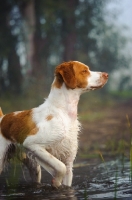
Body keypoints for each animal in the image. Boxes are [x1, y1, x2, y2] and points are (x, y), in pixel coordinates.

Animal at [0, 60, 108, 188]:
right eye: (84, 71)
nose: (106, 74)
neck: (63, 112)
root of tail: (2, 118)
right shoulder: (31, 143)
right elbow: (60, 167)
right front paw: (56, 180)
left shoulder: (69, 161)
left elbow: (66, 174)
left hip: (34, 167)